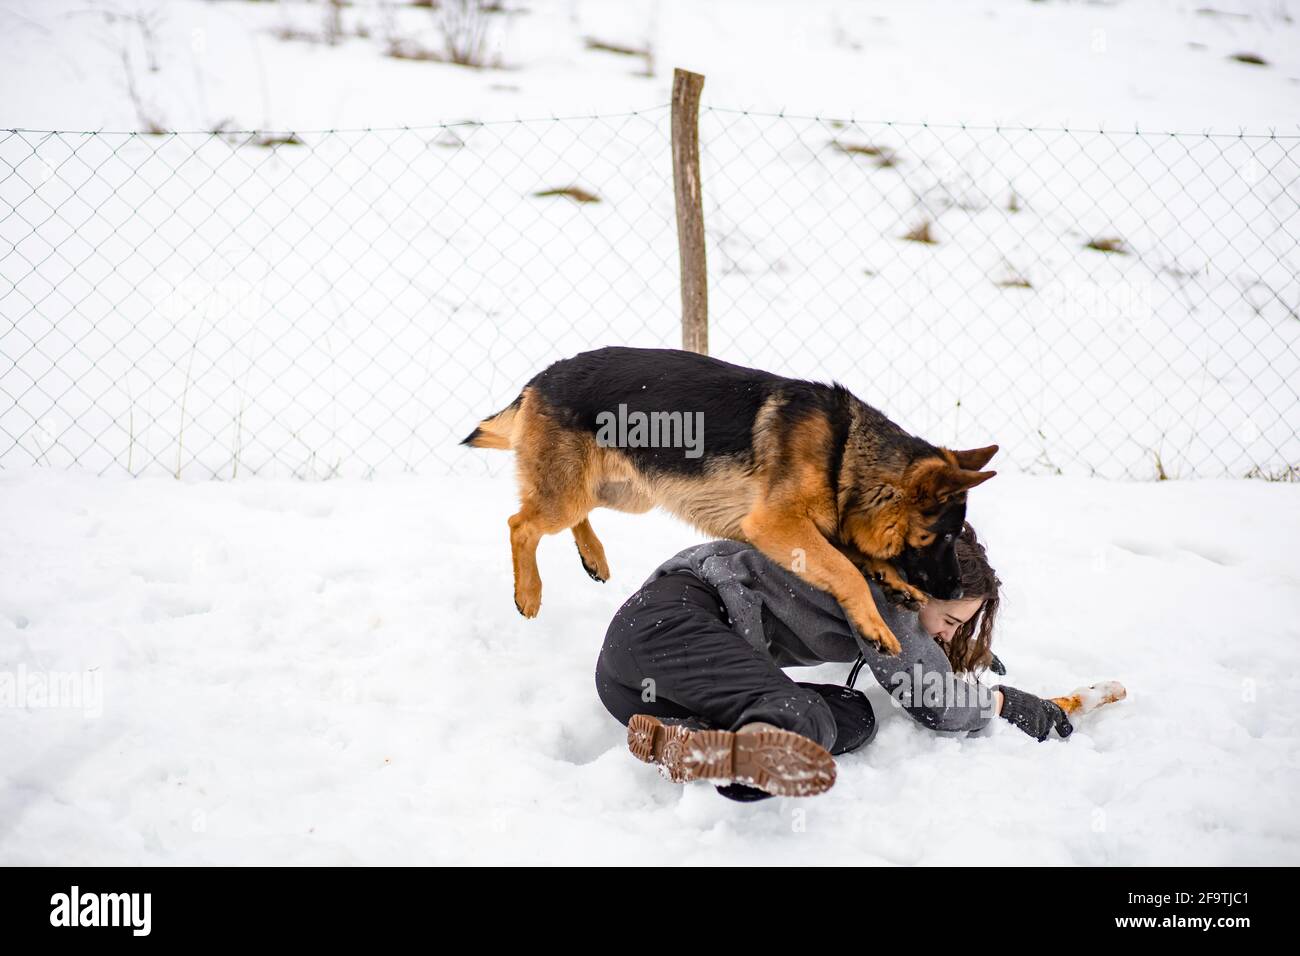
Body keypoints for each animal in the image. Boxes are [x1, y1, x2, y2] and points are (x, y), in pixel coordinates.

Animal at [465, 348, 993, 655]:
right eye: (945, 536)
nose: (955, 590)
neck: (845, 455)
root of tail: (542, 377)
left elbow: (852, 556)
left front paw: (892, 581)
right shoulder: (776, 525)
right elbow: (844, 569)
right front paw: (875, 622)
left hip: (626, 491)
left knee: (573, 516)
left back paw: (593, 556)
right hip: (572, 494)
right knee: (521, 523)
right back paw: (528, 593)